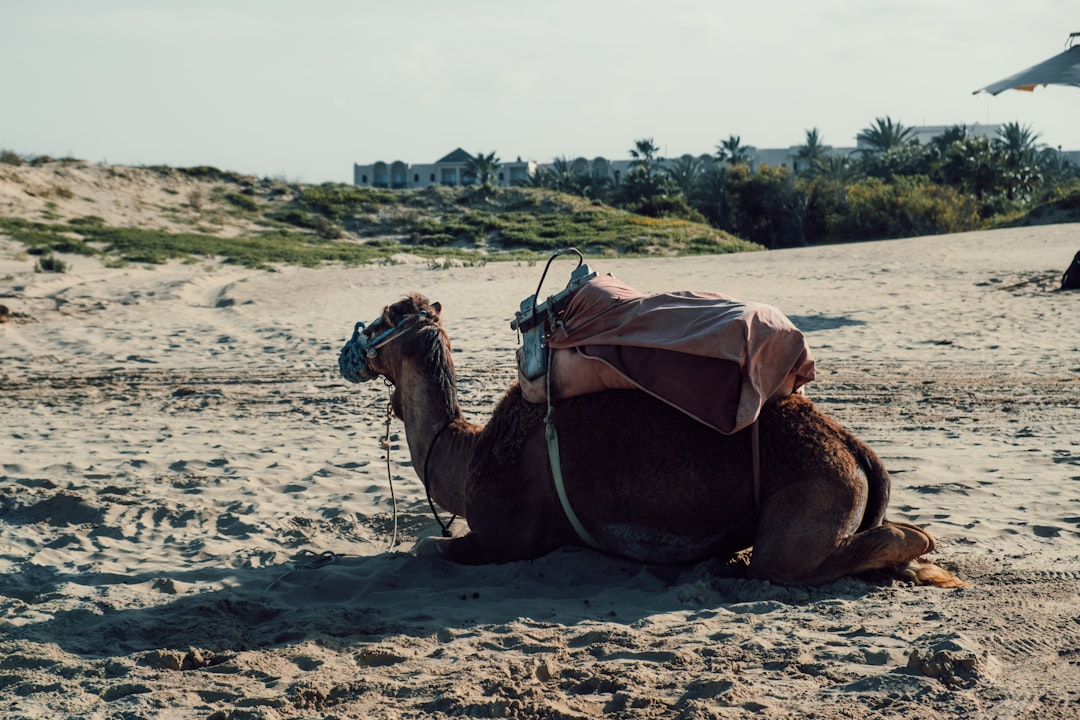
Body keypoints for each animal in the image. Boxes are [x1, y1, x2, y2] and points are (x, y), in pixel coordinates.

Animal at [336, 295, 963, 587]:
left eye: (385, 316)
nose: (349, 350)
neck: (466, 459)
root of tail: (855, 448)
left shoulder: (503, 540)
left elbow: (428, 550)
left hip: (815, 492)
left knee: (800, 559)